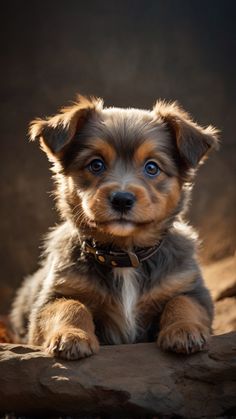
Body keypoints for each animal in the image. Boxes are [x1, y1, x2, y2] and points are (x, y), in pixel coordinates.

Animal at [10, 95, 218, 360]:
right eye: (96, 164)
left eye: (152, 167)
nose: (122, 199)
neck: (124, 256)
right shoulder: (52, 297)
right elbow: (69, 305)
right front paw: (71, 336)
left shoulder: (192, 289)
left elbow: (182, 302)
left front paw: (185, 330)